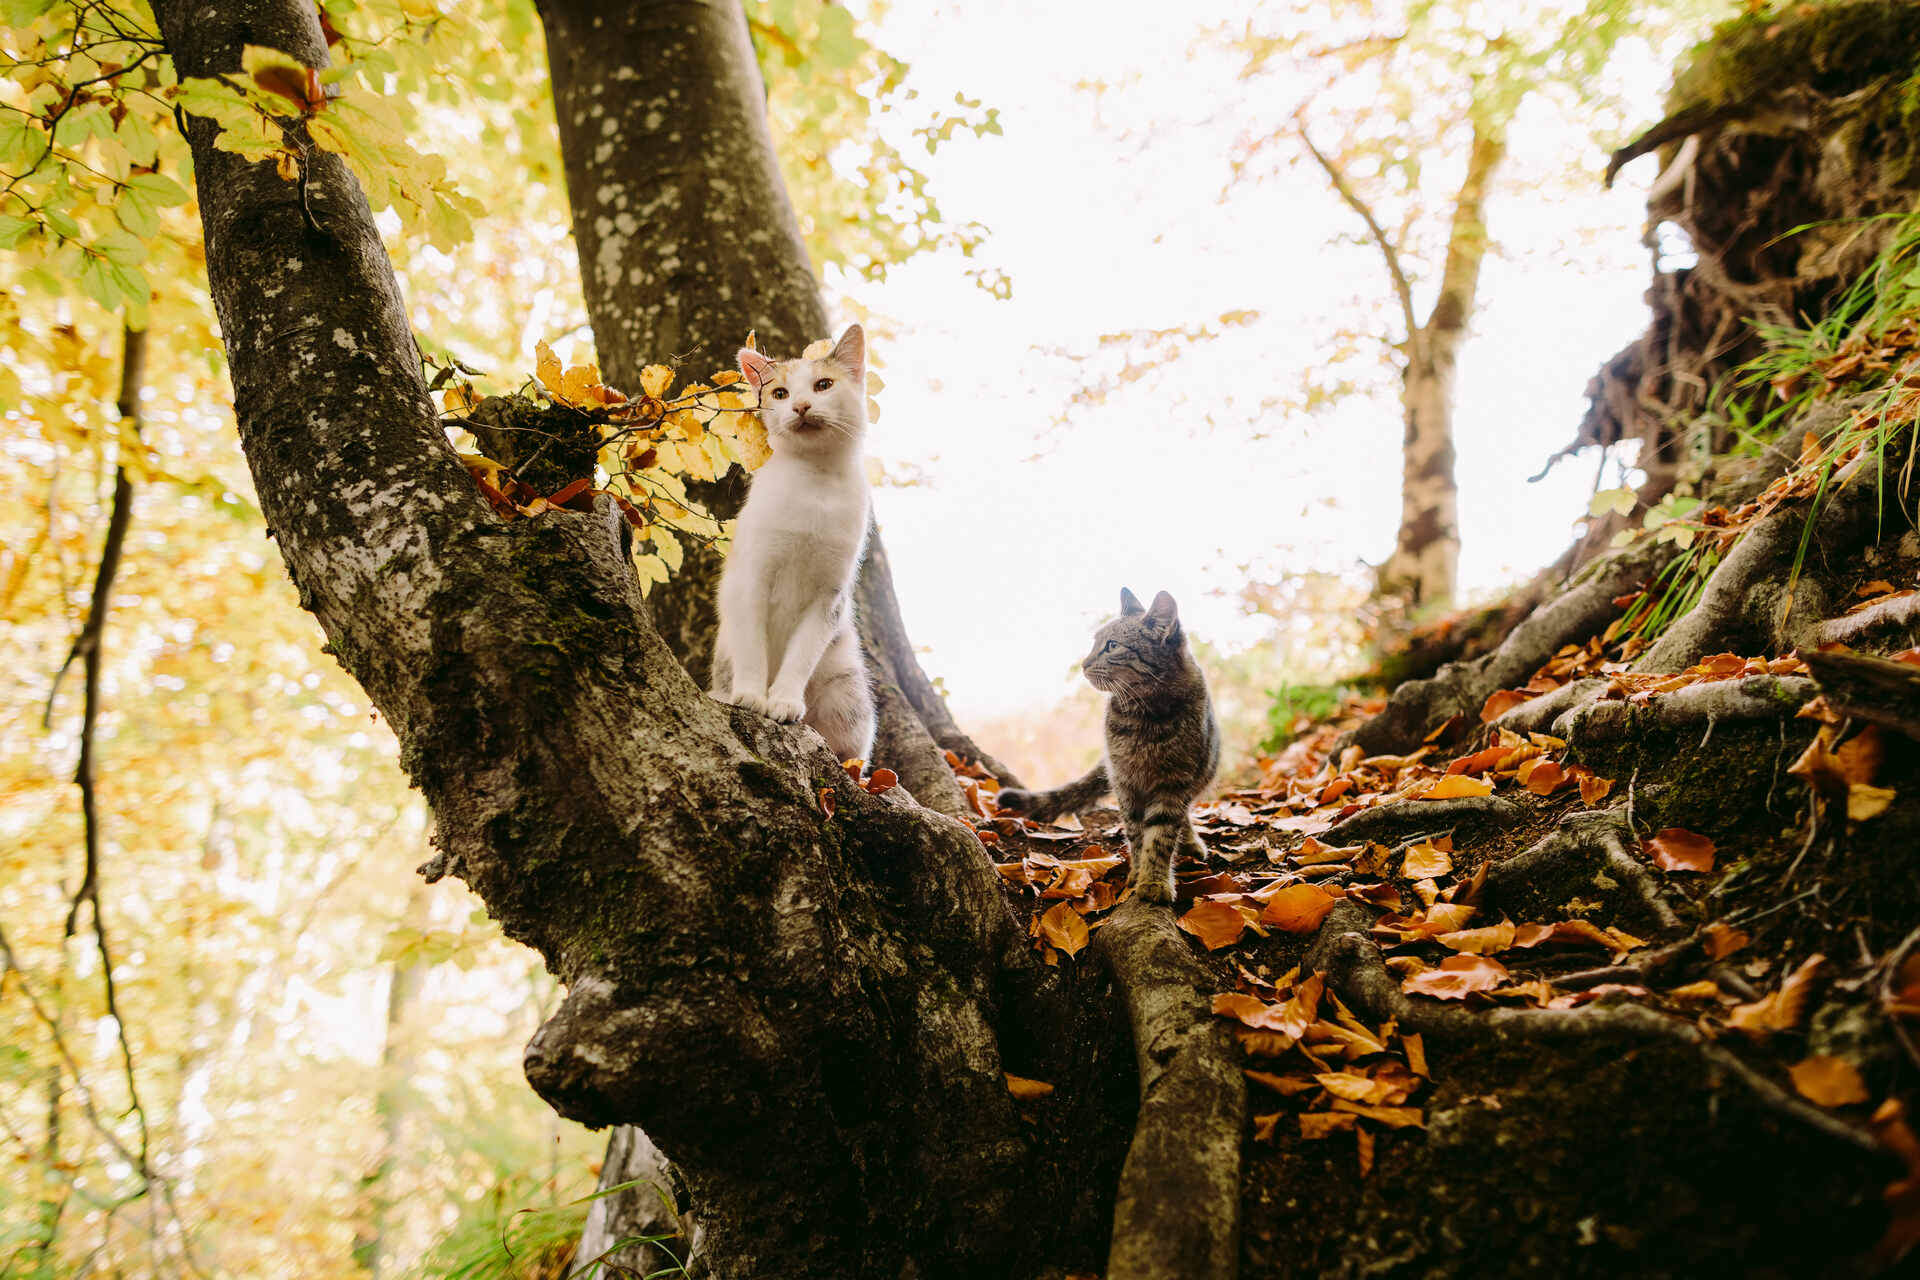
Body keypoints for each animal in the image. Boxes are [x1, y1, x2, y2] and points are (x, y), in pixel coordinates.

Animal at [714, 326, 879, 767]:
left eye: (824, 385)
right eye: (780, 393)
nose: (801, 406)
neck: (814, 484)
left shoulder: (829, 595)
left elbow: (801, 654)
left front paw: (784, 701)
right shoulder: (751, 578)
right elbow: (752, 646)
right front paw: (751, 695)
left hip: (846, 690)